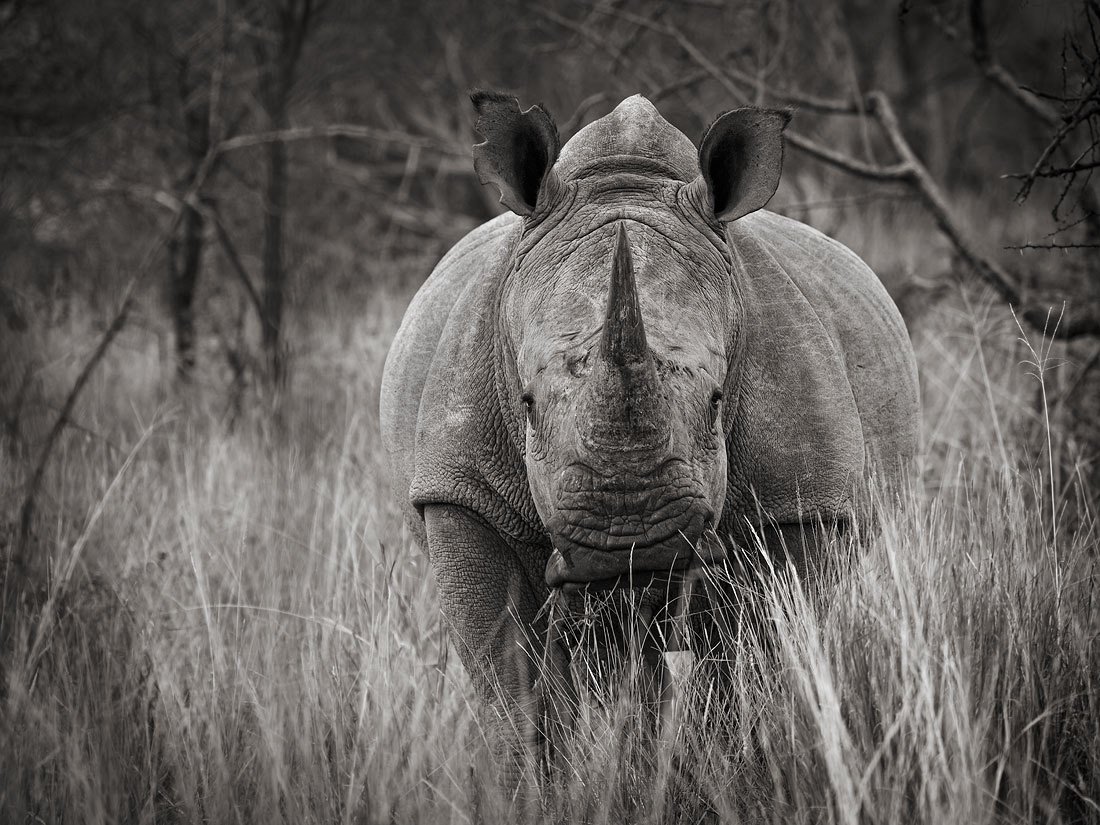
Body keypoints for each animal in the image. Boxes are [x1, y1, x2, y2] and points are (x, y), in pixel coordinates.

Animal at [380, 91, 920, 778]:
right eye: (526, 405)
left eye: (717, 401)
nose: (629, 552)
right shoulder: (462, 491)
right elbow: (512, 681)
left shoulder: (802, 502)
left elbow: (759, 661)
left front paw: (736, 774)